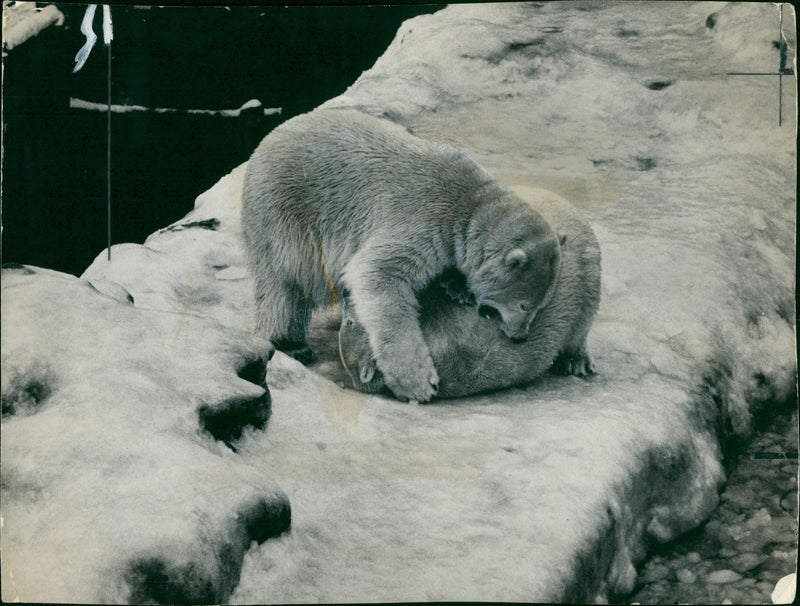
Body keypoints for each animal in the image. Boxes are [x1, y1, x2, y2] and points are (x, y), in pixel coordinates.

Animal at [242, 110, 564, 404]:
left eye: (541, 305)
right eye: (523, 304)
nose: (520, 336)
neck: (470, 204)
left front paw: (458, 288)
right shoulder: (420, 219)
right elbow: (376, 275)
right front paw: (419, 382)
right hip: (282, 212)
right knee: (282, 283)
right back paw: (290, 343)